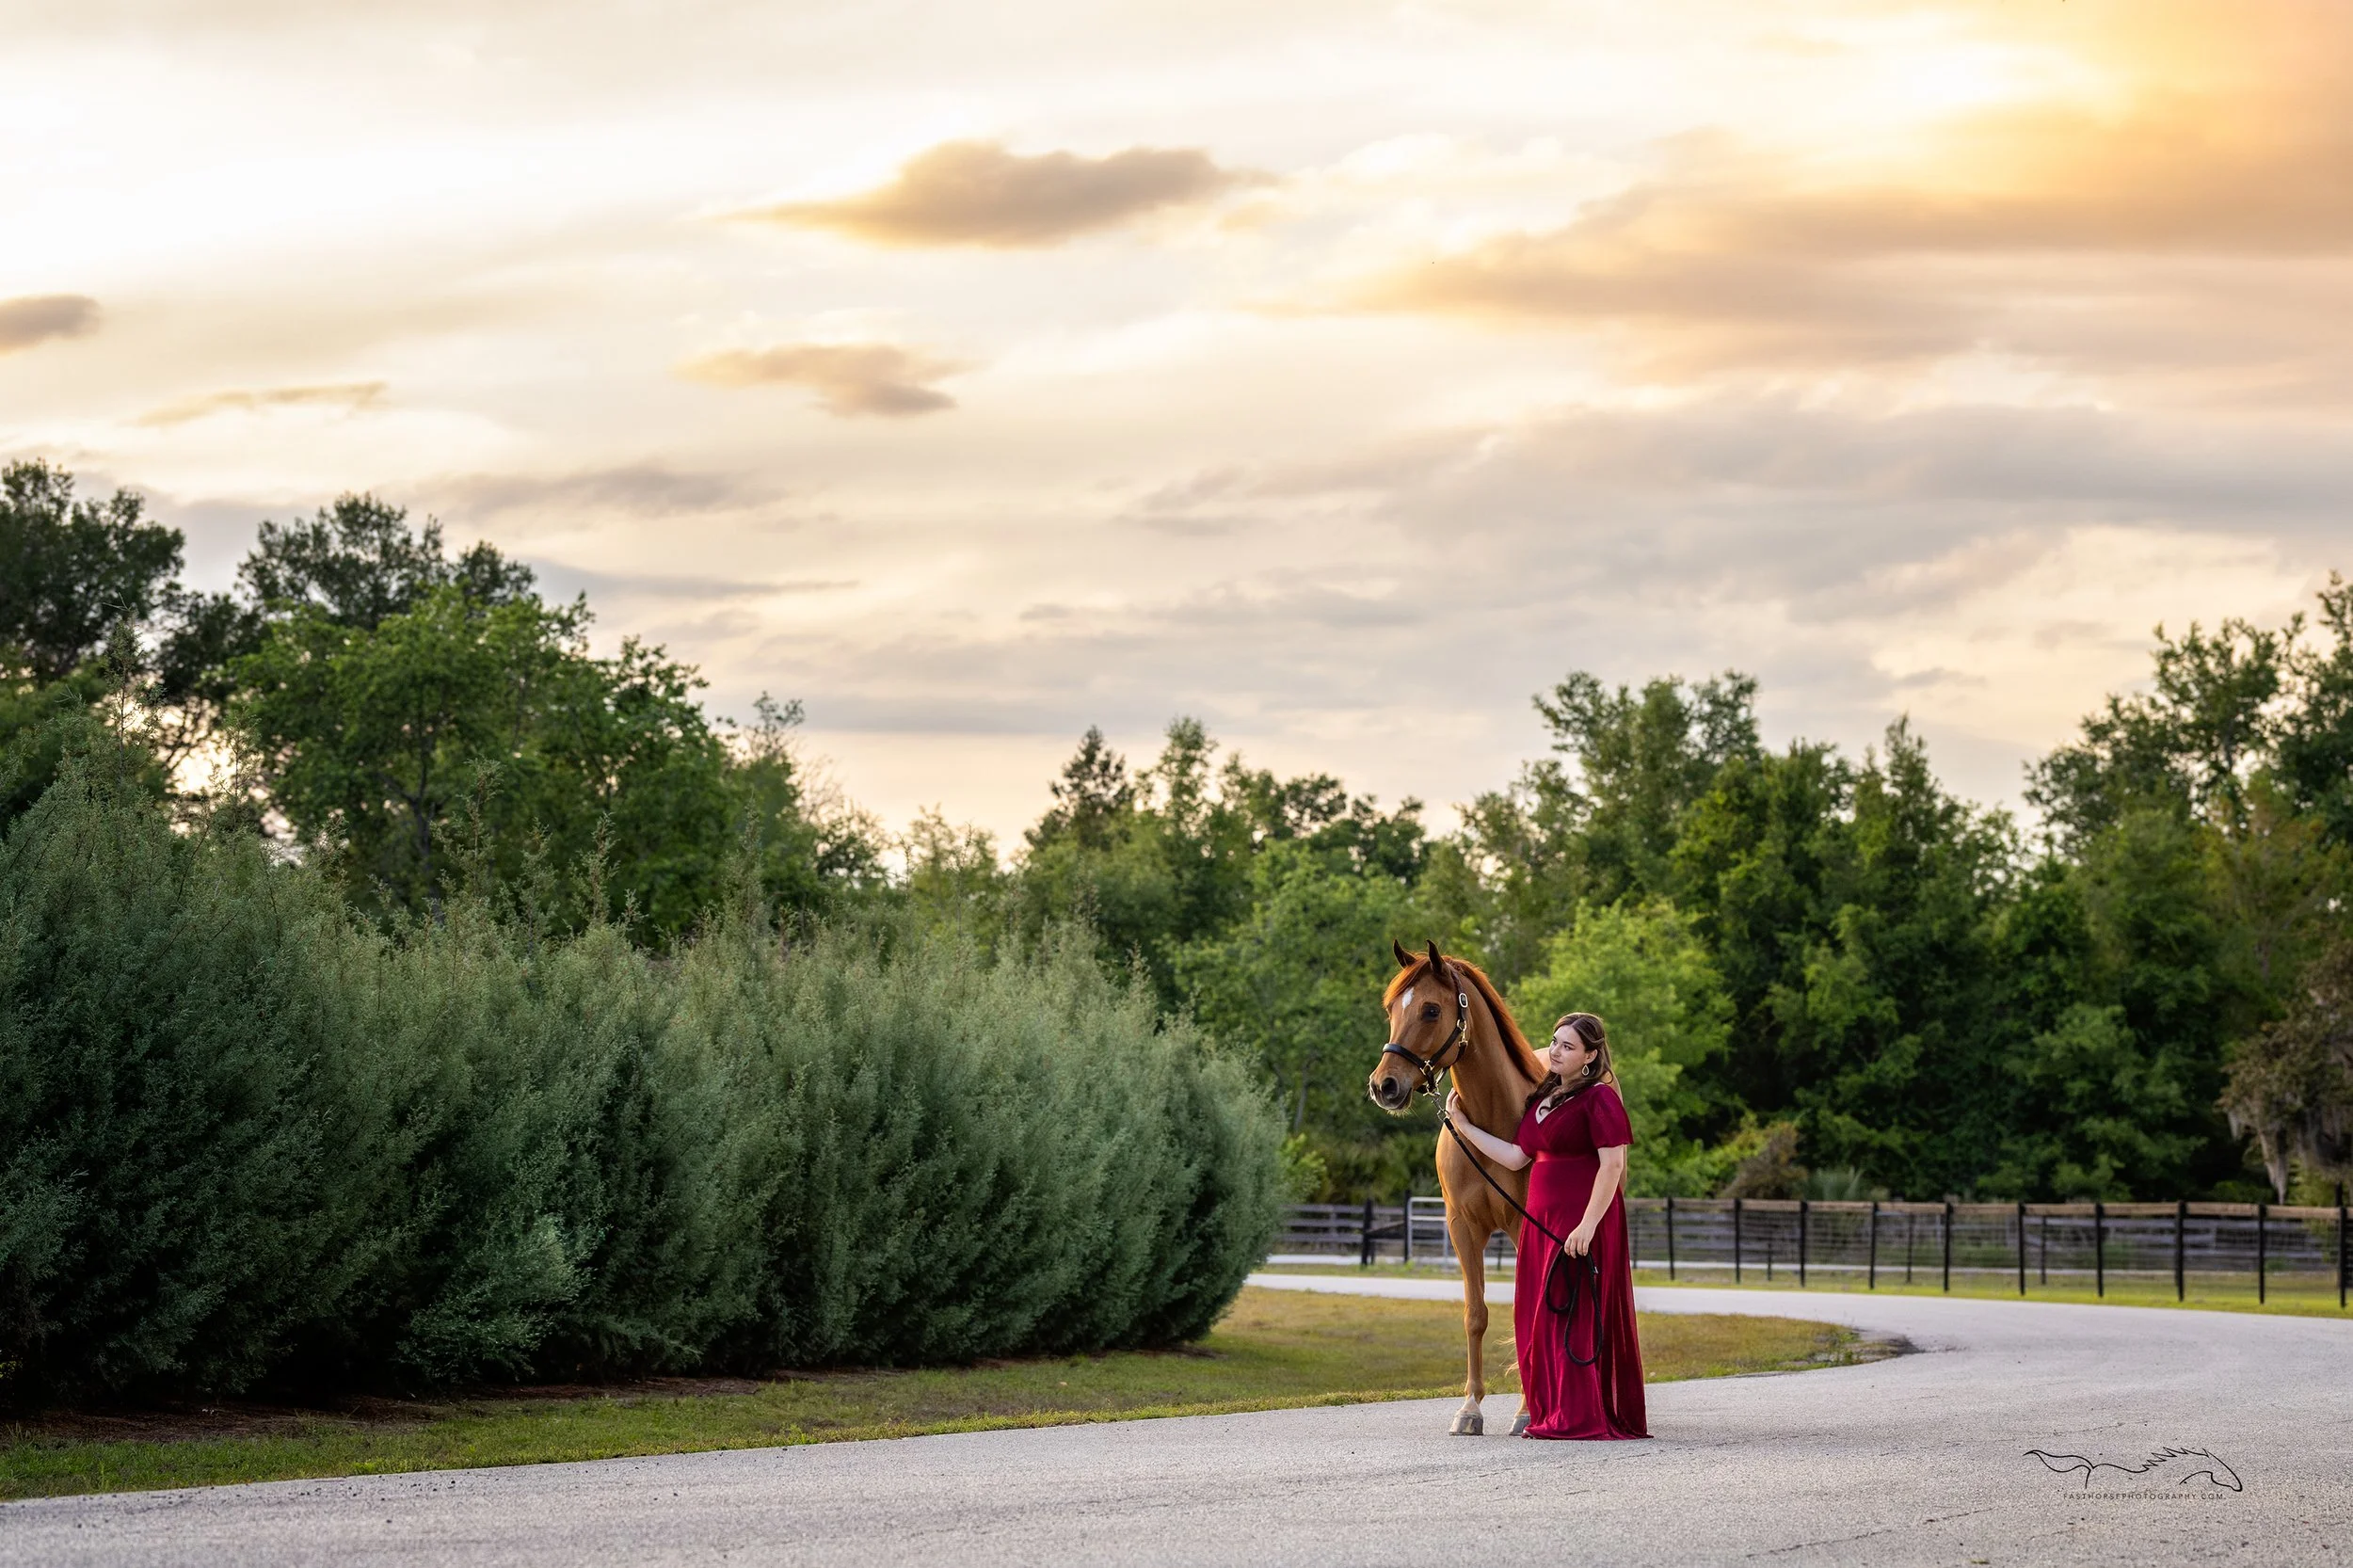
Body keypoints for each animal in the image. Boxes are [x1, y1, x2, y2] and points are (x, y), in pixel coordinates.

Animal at [1366, 938, 1547, 1436]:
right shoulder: (1462, 1228)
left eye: (1431, 1010)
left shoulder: (1526, 1228)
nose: (1384, 1085)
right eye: (1391, 1009)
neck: (1493, 1120)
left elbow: (1526, 1312)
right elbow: (1475, 1315)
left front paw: (1526, 1410)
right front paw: (1470, 1408)